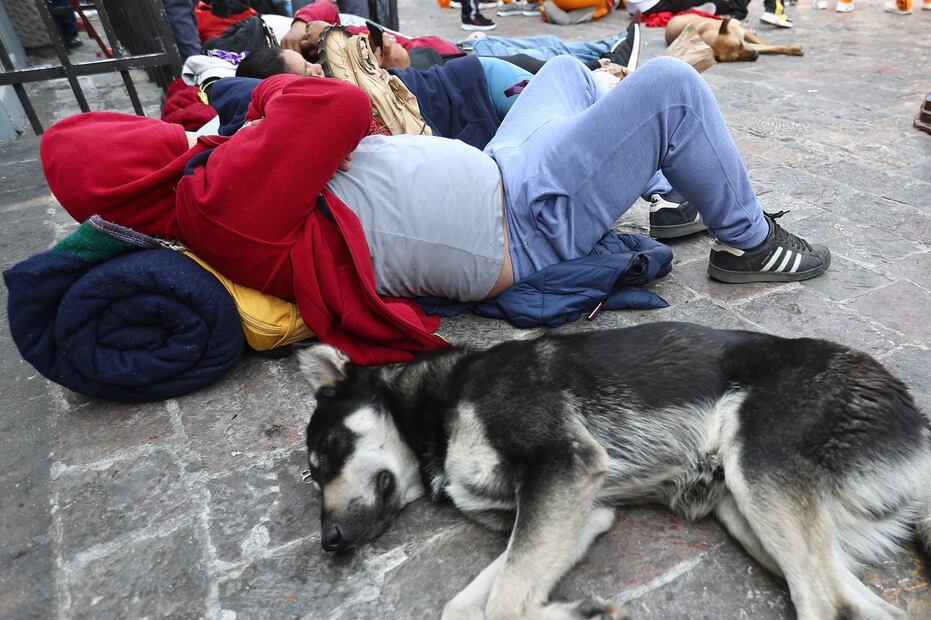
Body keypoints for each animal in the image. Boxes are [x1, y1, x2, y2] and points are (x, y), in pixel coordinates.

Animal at [298, 322, 931, 616]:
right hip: (747, 513)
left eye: (326, 451)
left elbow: (503, 601)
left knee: (828, 604)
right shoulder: (580, 511)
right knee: (860, 604)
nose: (328, 542)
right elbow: (470, 603)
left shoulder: (564, 469)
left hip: (757, 470)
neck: (441, 402)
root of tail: (918, 423)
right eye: (313, 471)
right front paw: (571, 609)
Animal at [668, 14, 804, 62]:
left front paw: (793, 48)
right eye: (736, 58)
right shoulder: (750, 46)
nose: (755, 56)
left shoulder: (744, 36)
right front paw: (794, 49)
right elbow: (767, 47)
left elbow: (767, 44)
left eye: (740, 44)